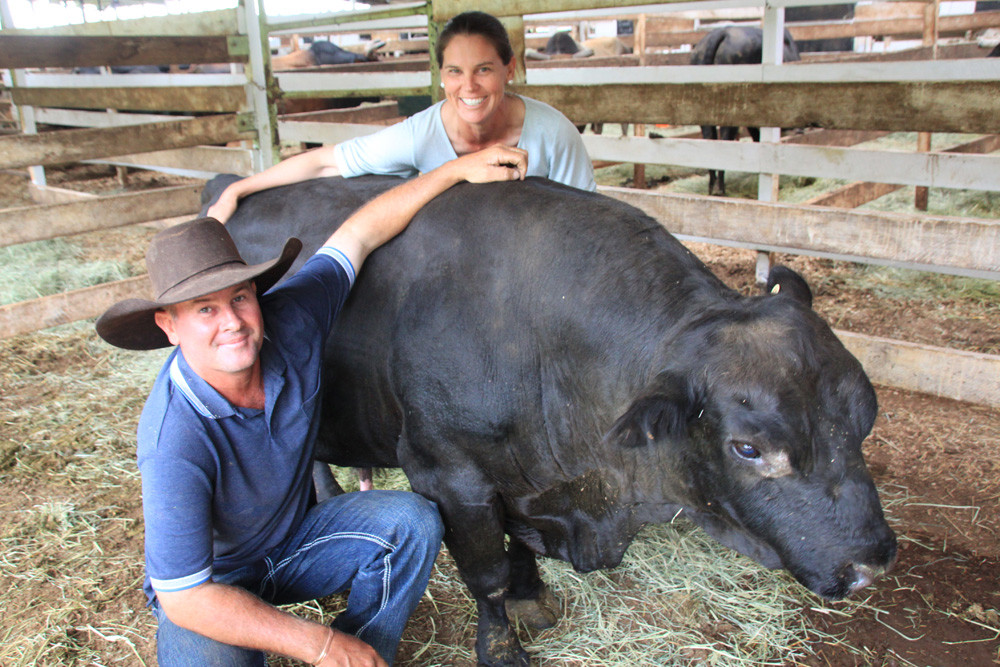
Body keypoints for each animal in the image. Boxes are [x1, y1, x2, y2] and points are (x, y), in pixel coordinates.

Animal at [199, 175, 896, 664]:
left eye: (865, 417)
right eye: (749, 449)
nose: (872, 564)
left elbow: (515, 547)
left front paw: (531, 591)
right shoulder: (450, 475)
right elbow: (485, 575)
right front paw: (502, 645)